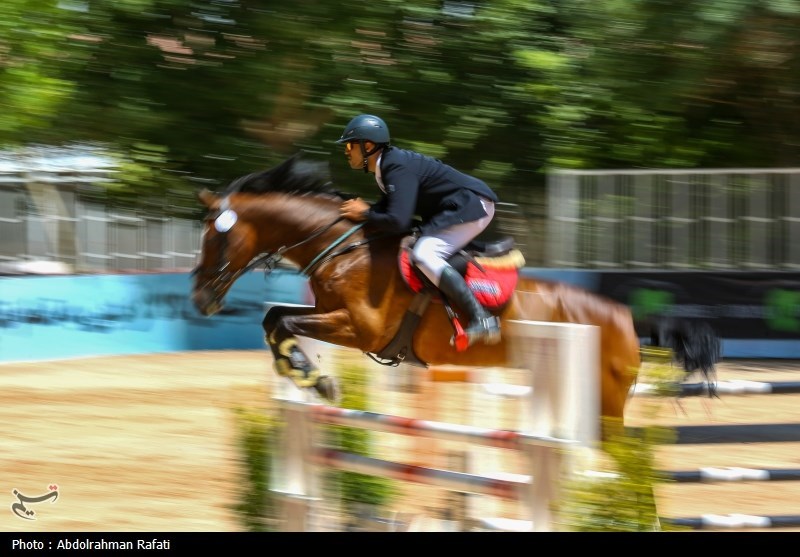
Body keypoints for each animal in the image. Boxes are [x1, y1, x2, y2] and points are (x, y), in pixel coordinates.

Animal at [191, 153, 720, 438]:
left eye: (215, 238)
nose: (200, 300)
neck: (343, 247)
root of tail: (626, 316)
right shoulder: (326, 311)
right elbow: (275, 319)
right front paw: (302, 372)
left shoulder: (360, 328)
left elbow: (282, 322)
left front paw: (315, 379)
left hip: (604, 396)